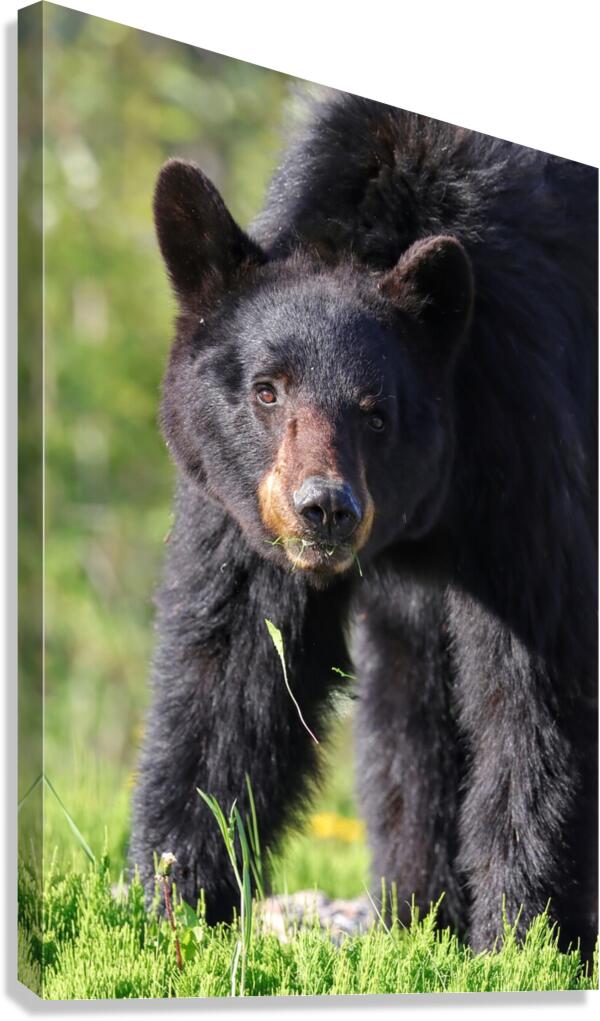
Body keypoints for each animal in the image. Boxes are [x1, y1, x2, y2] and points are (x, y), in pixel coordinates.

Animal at [130, 93, 598, 956]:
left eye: (376, 411)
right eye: (267, 389)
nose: (324, 507)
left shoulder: (524, 443)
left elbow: (533, 691)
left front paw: (524, 931)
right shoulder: (240, 508)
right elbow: (231, 673)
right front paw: (173, 903)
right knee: (408, 706)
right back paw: (416, 912)